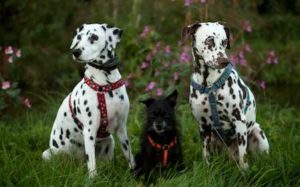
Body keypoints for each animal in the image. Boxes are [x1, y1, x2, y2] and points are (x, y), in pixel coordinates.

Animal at [42, 23, 135, 177]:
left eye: (94, 37)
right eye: (79, 37)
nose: (76, 51)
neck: (106, 84)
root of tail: (76, 163)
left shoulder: (122, 128)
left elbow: (129, 156)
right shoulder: (89, 132)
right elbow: (92, 165)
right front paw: (93, 179)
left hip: (110, 142)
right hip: (48, 154)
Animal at [180, 21, 270, 169]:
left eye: (225, 41)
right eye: (209, 40)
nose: (224, 61)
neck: (209, 84)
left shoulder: (239, 122)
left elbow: (243, 157)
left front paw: (245, 172)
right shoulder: (203, 126)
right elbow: (206, 156)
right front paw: (207, 170)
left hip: (257, 132)